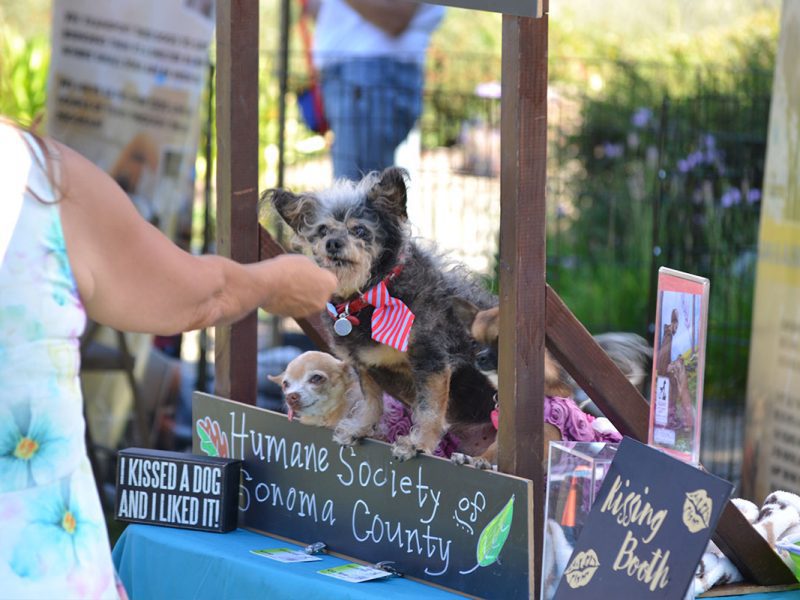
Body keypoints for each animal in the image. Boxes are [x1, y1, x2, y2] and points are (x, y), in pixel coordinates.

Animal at [266, 166, 496, 462]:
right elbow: (372, 401)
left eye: (360, 230)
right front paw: (360, 428)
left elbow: (430, 409)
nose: (333, 243)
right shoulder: (364, 365)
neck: (367, 297)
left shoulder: (431, 360)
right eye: (322, 230)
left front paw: (418, 443)